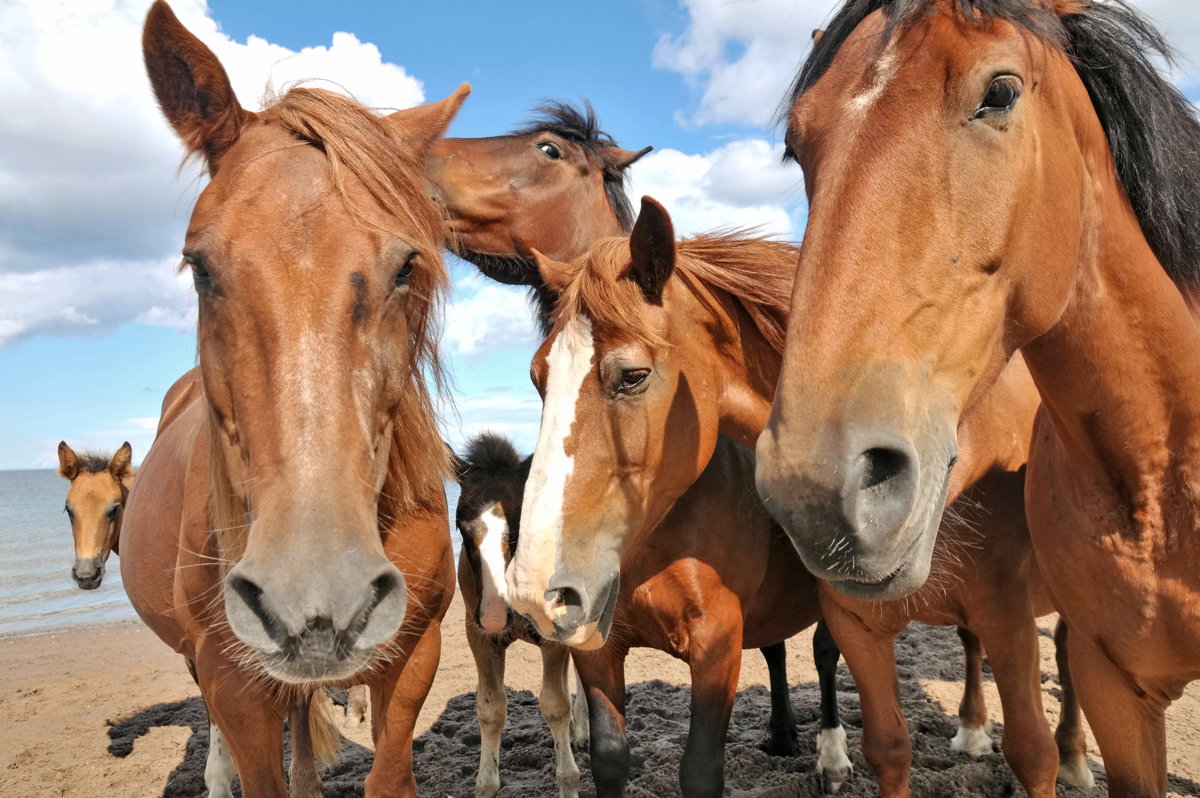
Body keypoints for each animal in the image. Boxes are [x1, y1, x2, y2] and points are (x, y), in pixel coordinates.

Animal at [758, 3, 1200, 792]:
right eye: (796, 142)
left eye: (1000, 92)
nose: (814, 489)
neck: (1166, 476)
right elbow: (889, 746)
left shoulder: (1016, 615)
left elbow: (1033, 747)